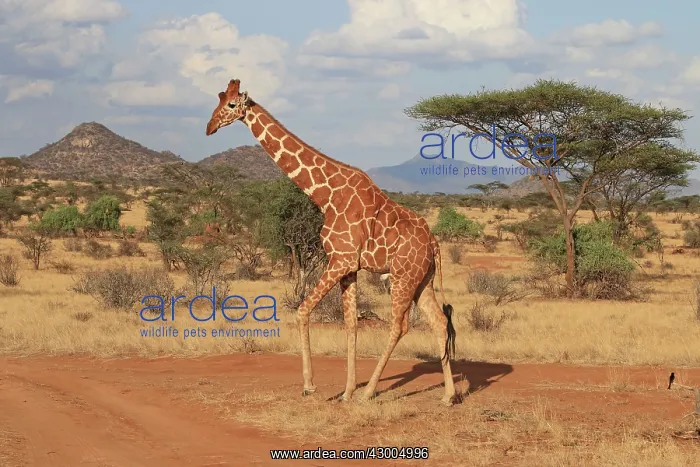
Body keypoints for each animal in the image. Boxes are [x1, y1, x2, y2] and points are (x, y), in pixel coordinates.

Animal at [205, 79, 458, 405]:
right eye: (218, 99)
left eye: (232, 104)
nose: (210, 126)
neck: (324, 195)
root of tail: (434, 243)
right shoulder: (349, 266)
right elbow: (351, 323)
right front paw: (347, 391)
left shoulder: (340, 259)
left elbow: (303, 310)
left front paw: (310, 386)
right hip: (421, 279)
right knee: (439, 321)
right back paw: (448, 396)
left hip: (402, 277)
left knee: (399, 325)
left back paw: (370, 392)